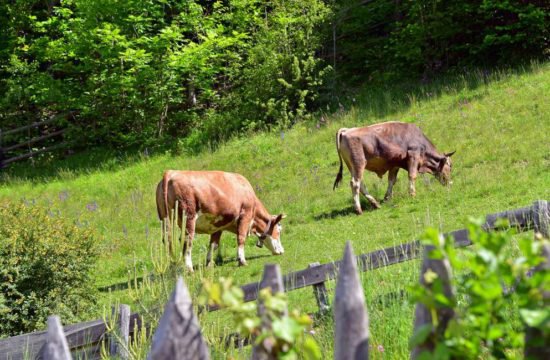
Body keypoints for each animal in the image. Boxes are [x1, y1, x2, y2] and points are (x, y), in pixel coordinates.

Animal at [154, 170, 284, 272]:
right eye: (279, 230)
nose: (282, 251)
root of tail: (171, 172)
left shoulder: (218, 224)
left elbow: (213, 244)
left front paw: (209, 263)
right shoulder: (245, 215)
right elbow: (241, 238)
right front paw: (242, 261)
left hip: (164, 218)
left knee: (167, 239)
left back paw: (172, 265)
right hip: (189, 216)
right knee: (187, 240)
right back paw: (189, 268)